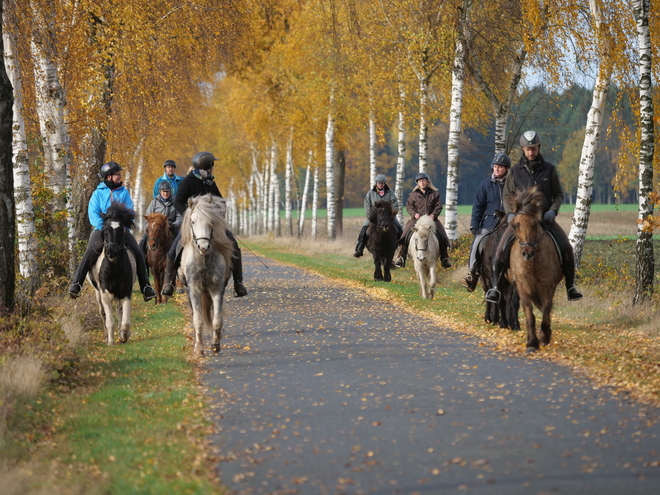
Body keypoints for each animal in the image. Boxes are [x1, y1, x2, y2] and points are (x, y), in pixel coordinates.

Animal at [87, 203, 138, 346]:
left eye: (121, 230)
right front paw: (110, 341)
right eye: (105, 230)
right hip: (97, 293)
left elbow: (125, 322)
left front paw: (124, 336)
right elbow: (110, 320)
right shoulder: (104, 294)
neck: (114, 269)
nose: (112, 252)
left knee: (120, 311)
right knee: (103, 313)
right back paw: (106, 336)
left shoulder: (126, 293)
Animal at [178, 195, 235, 356]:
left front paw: (215, 345)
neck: (203, 259)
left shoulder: (217, 290)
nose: (203, 247)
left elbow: (217, 319)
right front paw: (199, 348)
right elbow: (198, 320)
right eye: (192, 221)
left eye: (212, 222)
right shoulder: (194, 290)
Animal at [506, 186, 564, 352]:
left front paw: (544, 336)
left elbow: (546, 310)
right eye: (516, 225)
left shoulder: (548, 286)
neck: (532, 264)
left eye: (535, 224)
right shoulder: (523, 287)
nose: (527, 253)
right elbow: (529, 315)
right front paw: (532, 343)